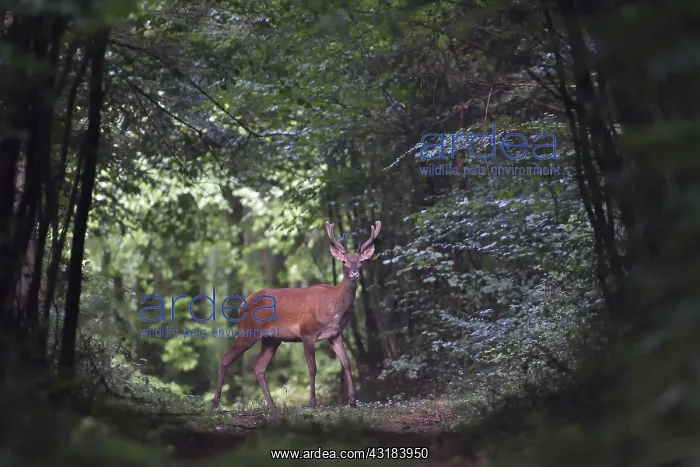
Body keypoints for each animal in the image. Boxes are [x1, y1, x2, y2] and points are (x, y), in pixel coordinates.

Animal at [210, 220, 381, 411]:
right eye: (344, 261)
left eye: (360, 261)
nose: (354, 273)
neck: (334, 307)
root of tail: (242, 305)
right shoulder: (307, 332)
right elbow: (312, 368)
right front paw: (312, 402)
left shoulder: (335, 334)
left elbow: (347, 362)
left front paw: (352, 401)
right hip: (249, 331)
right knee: (226, 358)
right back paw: (214, 403)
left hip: (271, 339)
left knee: (259, 367)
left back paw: (272, 405)